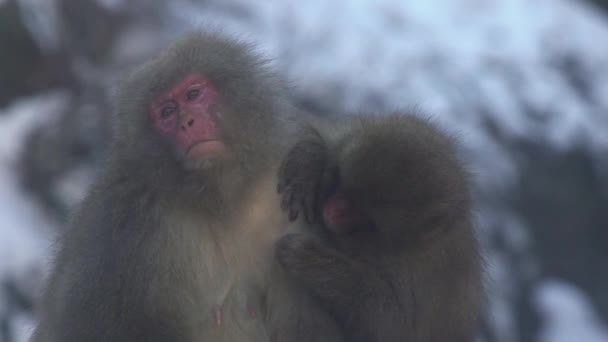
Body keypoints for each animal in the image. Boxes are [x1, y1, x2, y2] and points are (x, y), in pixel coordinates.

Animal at [276, 114, 484, 342]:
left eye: (368, 217)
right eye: (340, 181)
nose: (333, 210)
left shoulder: (425, 276)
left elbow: (391, 325)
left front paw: (311, 259)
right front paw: (306, 165)